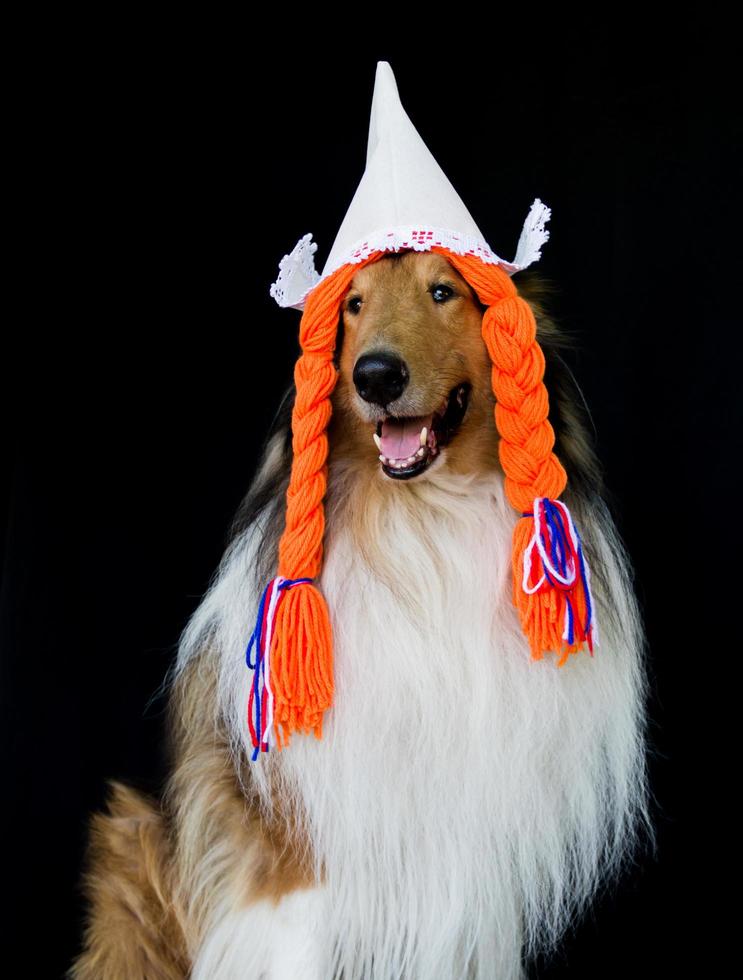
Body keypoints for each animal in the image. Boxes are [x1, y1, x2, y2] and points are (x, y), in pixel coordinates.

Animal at [71, 249, 656, 976]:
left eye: (444, 292)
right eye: (352, 304)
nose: (376, 375)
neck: (421, 523)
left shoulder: (474, 873)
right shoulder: (297, 865)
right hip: (132, 845)